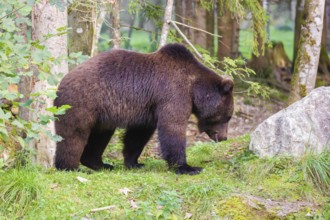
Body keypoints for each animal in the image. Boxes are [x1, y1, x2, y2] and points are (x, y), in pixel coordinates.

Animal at [54, 43, 233, 175]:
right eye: (228, 116)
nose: (224, 137)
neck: (194, 88)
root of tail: (61, 83)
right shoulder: (173, 94)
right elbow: (172, 128)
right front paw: (188, 167)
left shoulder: (148, 108)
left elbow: (138, 135)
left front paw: (134, 163)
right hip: (81, 103)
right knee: (73, 135)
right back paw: (70, 167)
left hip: (102, 115)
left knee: (100, 135)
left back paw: (101, 164)